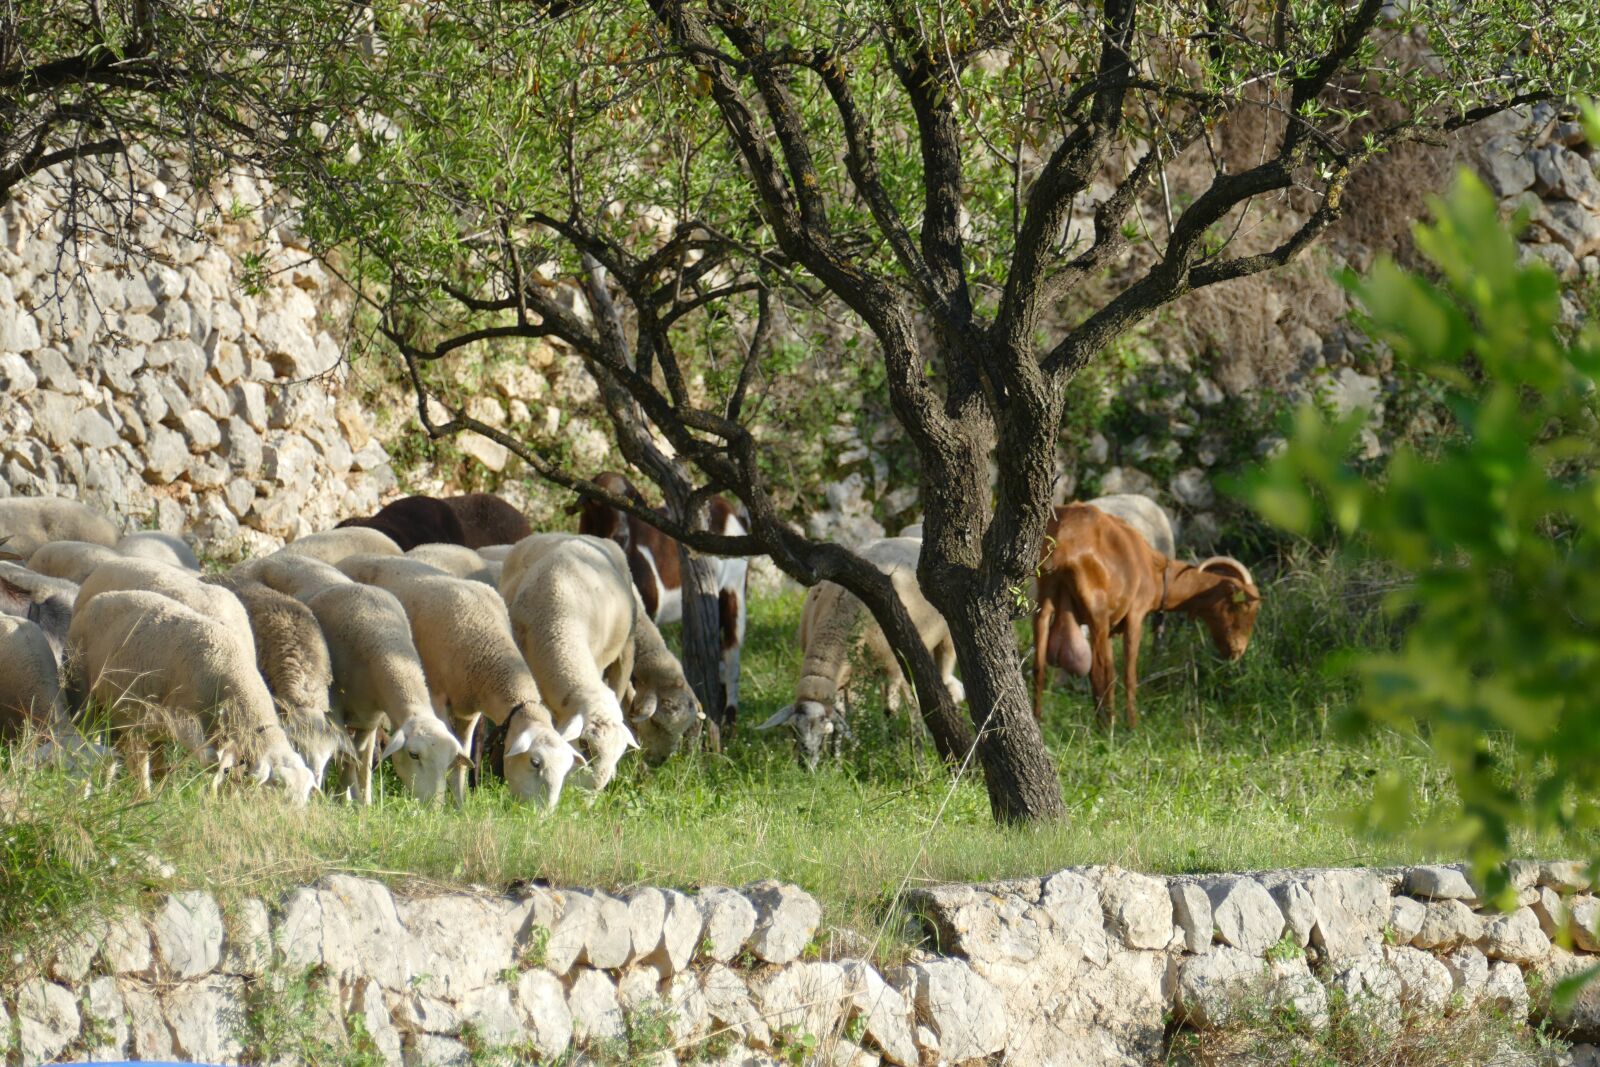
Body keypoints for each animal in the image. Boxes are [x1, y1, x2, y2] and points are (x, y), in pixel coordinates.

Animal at [66, 590, 314, 802]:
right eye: (277, 786)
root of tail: (98, 598)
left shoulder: (220, 735)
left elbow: (219, 768)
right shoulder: (184, 721)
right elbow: (210, 765)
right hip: (86, 694)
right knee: (95, 743)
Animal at [304, 583, 469, 804]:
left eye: (449, 761)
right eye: (414, 755)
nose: (434, 806)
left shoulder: (369, 720)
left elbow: (358, 762)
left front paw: (361, 804)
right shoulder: (335, 711)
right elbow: (345, 756)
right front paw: (341, 801)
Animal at [363, 572, 579, 810]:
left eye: (567, 767)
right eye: (535, 762)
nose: (543, 814)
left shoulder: (469, 712)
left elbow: (462, 759)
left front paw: (460, 805)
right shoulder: (437, 699)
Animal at [757, 537, 963, 769]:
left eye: (822, 732)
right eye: (793, 731)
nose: (805, 766)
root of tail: (914, 539)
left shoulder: (888, 669)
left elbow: (877, 711)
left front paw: (862, 757)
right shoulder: (846, 677)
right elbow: (843, 715)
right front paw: (837, 763)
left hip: (943, 644)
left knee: (929, 690)